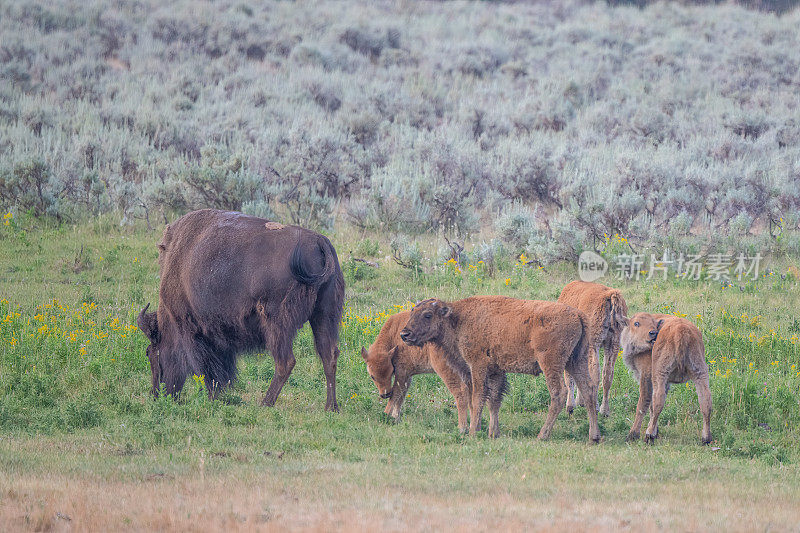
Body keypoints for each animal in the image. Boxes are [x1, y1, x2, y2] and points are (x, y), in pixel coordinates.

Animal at [135, 208, 346, 412]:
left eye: (150, 353)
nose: (157, 396)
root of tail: (318, 241)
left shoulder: (191, 329)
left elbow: (207, 369)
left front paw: (213, 397)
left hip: (277, 323)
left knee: (285, 362)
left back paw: (265, 403)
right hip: (324, 315)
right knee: (329, 356)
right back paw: (331, 407)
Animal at [362, 310, 506, 430]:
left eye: (390, 371)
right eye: (372, 376)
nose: (384, 394)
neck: (393, 338)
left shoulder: (402, 372)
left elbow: (396, 394)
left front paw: (386, 415)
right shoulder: (407, 376)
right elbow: (401, 395)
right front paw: (395, 417)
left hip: (446, 370)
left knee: (461, 392)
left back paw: (462, 428)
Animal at [400, 296, 600, 440]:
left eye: (427, 314)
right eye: (412, 312)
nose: (404, 334)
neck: (458, 319)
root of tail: (578, 315)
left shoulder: (478, 366)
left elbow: (478, 398)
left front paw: (473, 432)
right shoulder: (496, 371)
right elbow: (494, 401)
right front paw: (492, 433)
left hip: (551, 364)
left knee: (559, 393)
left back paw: (542, 435)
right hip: (576, 361)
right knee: (588, 390)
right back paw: (594, 437)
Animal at [620, 312, 712, 444]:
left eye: (653, 323)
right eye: (636, 323)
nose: (653, 333)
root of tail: (682, 329)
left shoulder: (646, 375)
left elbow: (644, 403)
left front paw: (633, 434)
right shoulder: (666, 382)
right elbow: (651, 406)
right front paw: (655, 431)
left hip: (660, 372)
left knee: (659, 400)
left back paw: (648, 436)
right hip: (700, 371)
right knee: (705, 401)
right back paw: (706, 438)